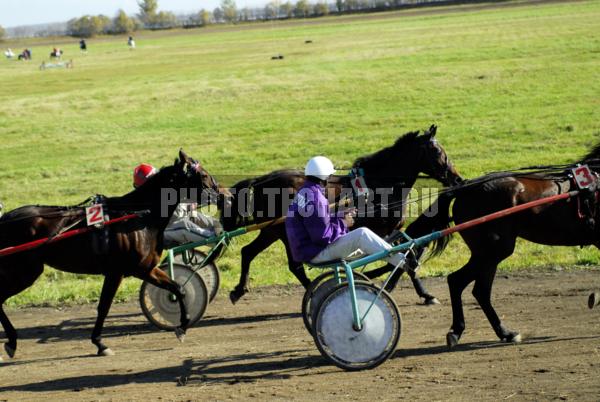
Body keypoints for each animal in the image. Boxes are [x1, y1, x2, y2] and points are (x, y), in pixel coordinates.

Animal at [0, 150, 223, 358]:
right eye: (203, 175)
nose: (221, 194)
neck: (138, 217)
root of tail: (5, 218)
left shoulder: (145, 269)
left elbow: (177, 288)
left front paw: (182, 326)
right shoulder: (116, 272)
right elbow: (104, 306)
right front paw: (100, 343)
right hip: (24, 271)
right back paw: (11, 342)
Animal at [223, 124, 462, 304]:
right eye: (438, 152)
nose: (456, 178)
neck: (379, 185)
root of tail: (262, 179)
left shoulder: (391, 231)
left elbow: (406, 253)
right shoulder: (382, 230)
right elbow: (403, 256)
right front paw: (425, 294)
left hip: (271, 231)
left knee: (248, 252)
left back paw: (239, 289)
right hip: (280, 231)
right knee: (293, 265)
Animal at [410, 140, 600, 348]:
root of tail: (465, 187)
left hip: (487, 253)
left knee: (477, 290)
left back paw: (500, 332)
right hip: (495, 250)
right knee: (459, 282)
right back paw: (469, 331)